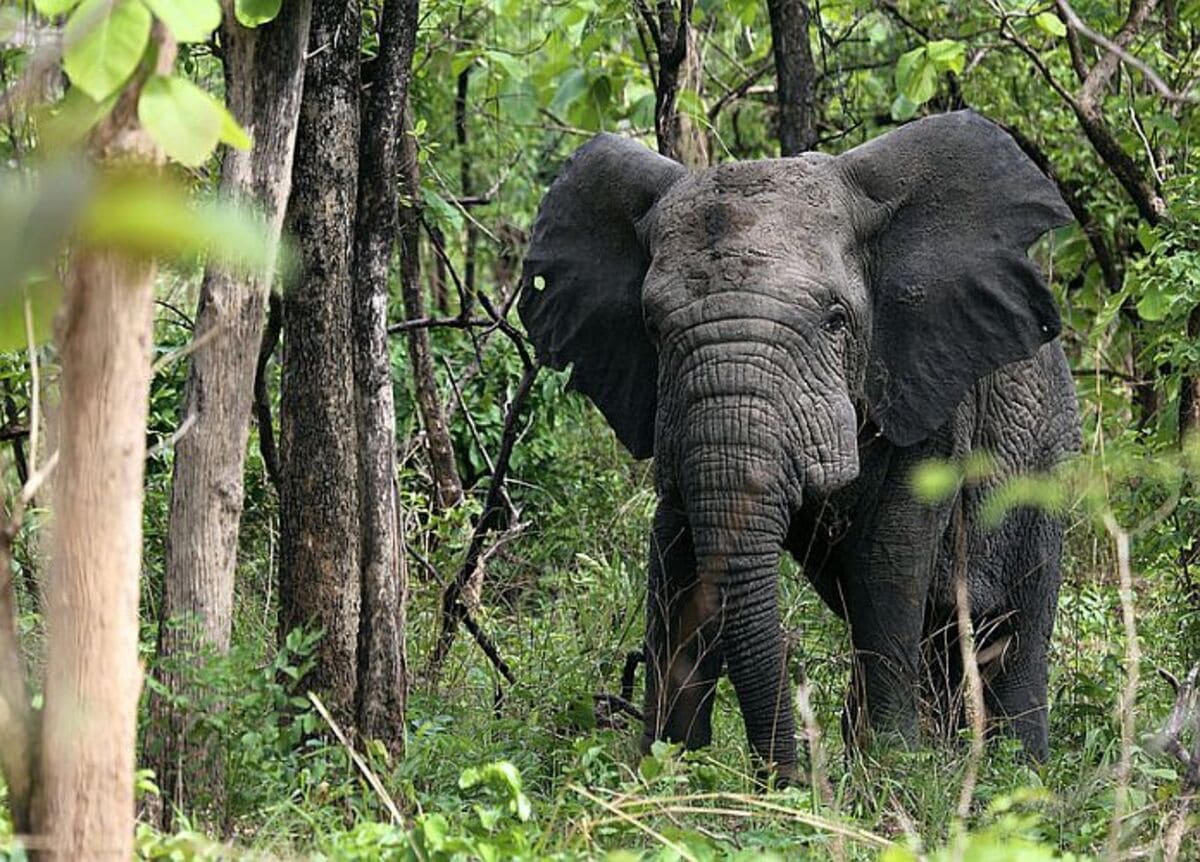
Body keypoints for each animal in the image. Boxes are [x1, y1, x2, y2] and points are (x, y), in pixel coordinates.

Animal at [516, 109, 1080, 782]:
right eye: (652, 328)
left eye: (835, 320)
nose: (792, 780)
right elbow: (677, 553)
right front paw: (666, 770)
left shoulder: (930, 384)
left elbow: (889, 557)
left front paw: (891, 773)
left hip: (1045, 460)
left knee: (1015, 623)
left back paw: (1020, 776)